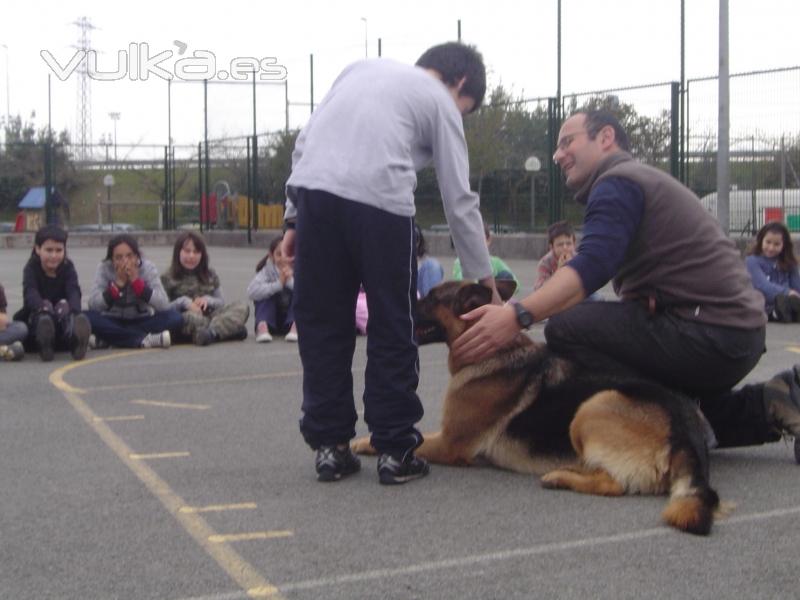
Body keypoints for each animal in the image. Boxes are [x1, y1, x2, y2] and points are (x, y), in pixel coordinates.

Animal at [354, 282, 720, 536]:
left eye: (430, 298)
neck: (496, 351)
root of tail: (687, 427)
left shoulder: (450, 444)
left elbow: (416, 443)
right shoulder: (446, 432)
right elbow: (411, 437)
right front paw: (361, 442)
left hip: (592, 406)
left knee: (614, 484)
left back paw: (559, 476)